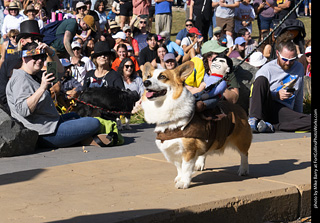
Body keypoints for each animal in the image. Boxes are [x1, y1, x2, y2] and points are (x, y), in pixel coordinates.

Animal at [142, 61, 252, 189]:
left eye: (162, 77)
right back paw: (199, 164)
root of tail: (239, 107)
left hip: (241, 141)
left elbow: (185, 167)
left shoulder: (189, 150)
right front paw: (180, 178)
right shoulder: (174, 150)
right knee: (204, 152)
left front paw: (184, 182)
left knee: (244, 154)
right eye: (148, 76)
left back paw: (243, 170)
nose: (145, 82)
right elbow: (179, 167)